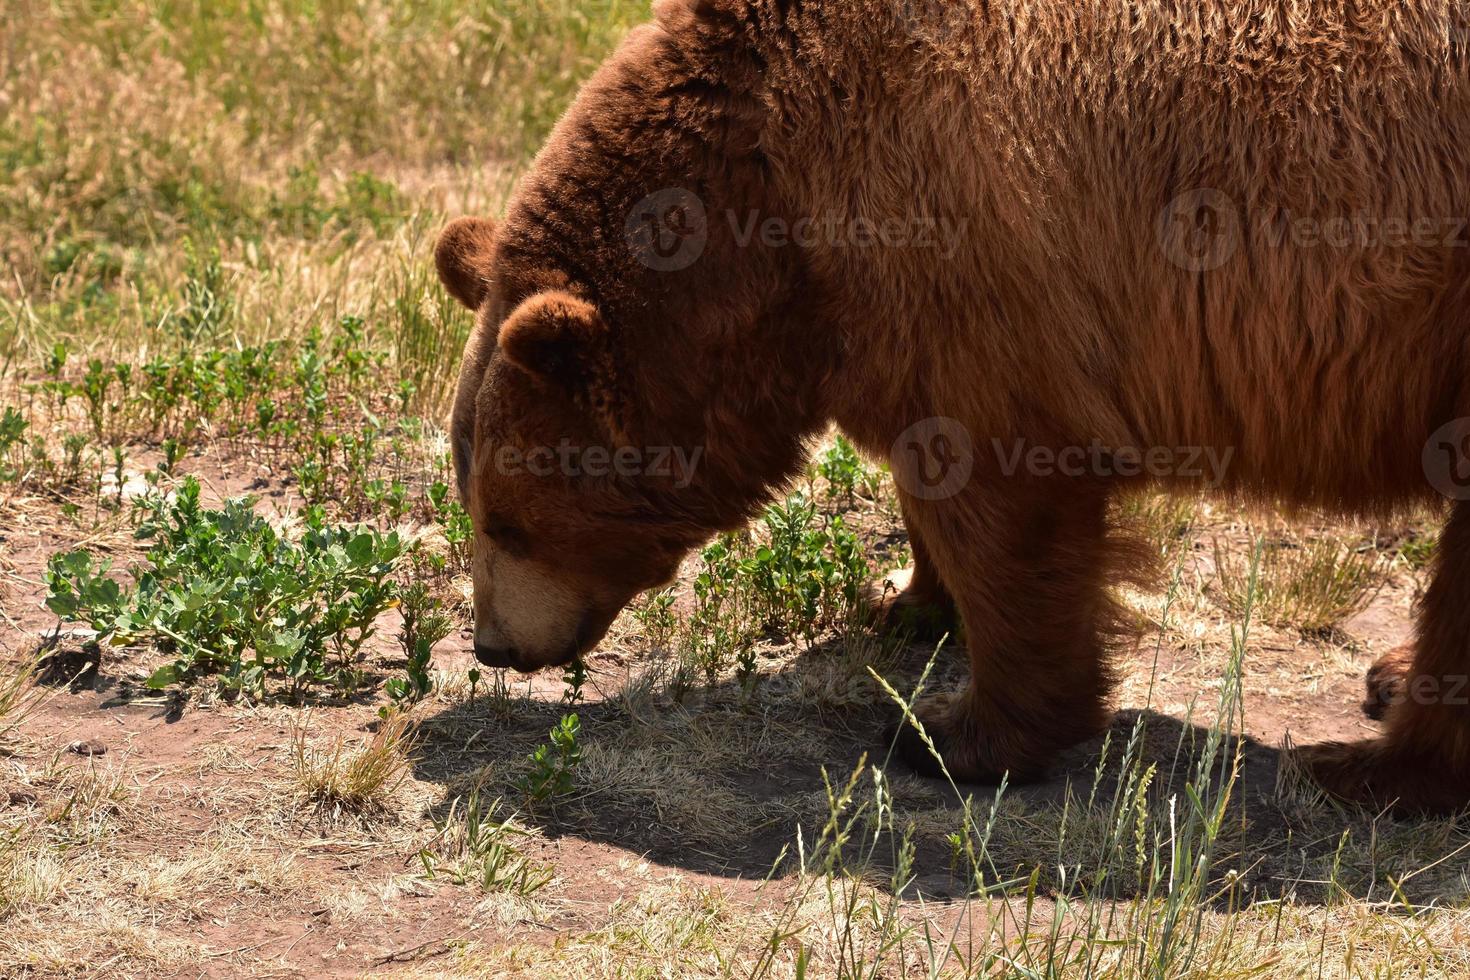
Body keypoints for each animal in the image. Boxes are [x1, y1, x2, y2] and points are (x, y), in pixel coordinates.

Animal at [441, 0, 1470, 811]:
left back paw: (1372, 766)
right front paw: (904, 601)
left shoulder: (972, 235)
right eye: (475, 503)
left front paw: (953, 731)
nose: (492, 647)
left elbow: (1001, 498)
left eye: (509, 523)